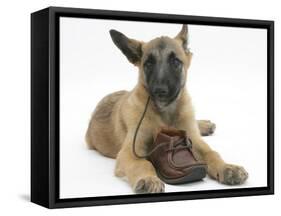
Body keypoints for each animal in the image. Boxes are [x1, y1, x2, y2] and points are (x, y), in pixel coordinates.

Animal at [86, 24, 247, 192]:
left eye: (175, 62)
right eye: (149, 64)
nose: (160, 90)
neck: (165, 112)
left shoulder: (193, 140)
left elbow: (211, 153)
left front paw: (227, 168)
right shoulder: (130, 152)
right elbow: (142, 163)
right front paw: (148, 178)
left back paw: (204, 125)